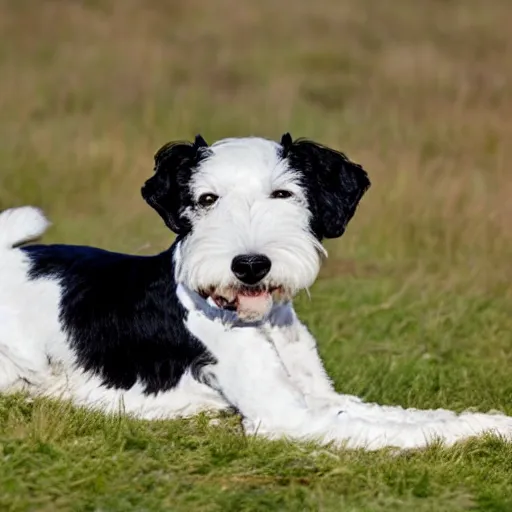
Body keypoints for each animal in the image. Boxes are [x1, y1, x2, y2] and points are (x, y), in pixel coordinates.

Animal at [1, 134, 512, 450]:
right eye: (206, 199)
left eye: (283, 194)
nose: (249, 266)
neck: (258, 321)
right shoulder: (289, 418)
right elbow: (405, 432)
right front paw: (484, 434)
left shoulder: (318, 398)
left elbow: (407, 415)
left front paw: (492, 423)